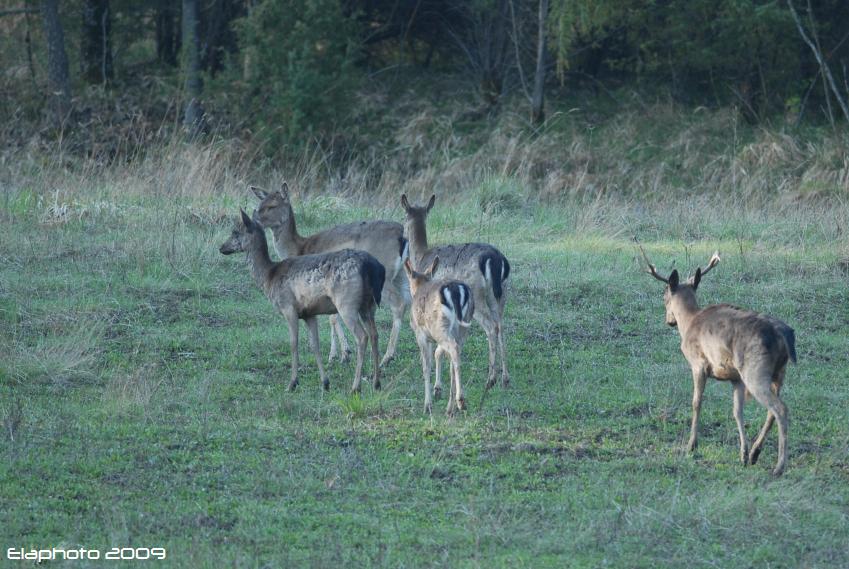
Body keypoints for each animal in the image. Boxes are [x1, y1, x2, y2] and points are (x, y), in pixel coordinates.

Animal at [219, 207, 384, 390]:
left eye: (235, 232)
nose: (221, 247)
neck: (269, 277)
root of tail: (371, 266)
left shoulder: (288, 307)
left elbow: (293, 343)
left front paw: (292, 382)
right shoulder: (309, 313)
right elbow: (315, 345)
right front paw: (325, 382)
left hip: (347, 303)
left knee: (362, 336)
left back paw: (355, 386)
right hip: (368, 305)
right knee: (374, 334)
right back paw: (376, 382)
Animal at [250, 184, 410, 366]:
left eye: (272, 206)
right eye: (260, 203)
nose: (254, 219)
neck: (299, 248)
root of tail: (402, 236)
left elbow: (332, 318)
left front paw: (340, 354)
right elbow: (332, 316)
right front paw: (340, 354)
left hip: (385, 276)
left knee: (399, 303)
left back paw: (387, 357)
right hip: (402, 274)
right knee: (410, 299)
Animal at [400, 194, 510, 386]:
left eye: (404, 217)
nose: (402, 234)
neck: (421, 258)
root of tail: (496, 260)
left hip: (477, 295)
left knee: (491, 326)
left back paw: (491, 378)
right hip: (500, 294)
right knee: (501, 325)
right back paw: (505, 378)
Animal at [402, 258, 474, 412]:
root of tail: (455, 291)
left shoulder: (420, 334)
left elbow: (426, 365)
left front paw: (427, 404)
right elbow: (438, 353)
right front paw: (437, 389)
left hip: (439, 326)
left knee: (453, 349)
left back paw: (460, 401)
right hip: (462, 326)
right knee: (455, 354)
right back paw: (450, 406)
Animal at [640, 246, 800, 478]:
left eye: (664, 296)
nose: (669, 321)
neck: (689, 322)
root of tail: (784, 334)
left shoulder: (698, 363)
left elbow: (696, 402)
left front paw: (691, 445)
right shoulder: (735, 378)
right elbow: (737, 412)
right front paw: (742, 454)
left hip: (755, 369)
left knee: (780, 408)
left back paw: (779, 466)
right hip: (779, 372)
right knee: (773, 410)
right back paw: (755, 453)